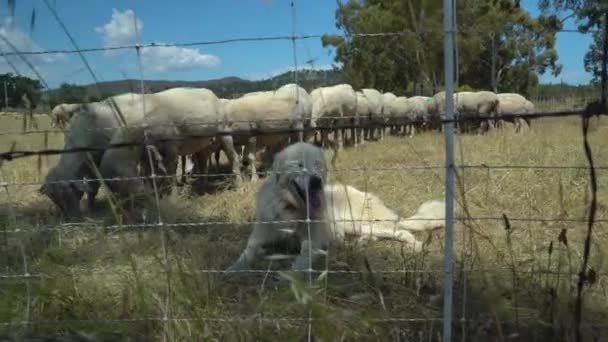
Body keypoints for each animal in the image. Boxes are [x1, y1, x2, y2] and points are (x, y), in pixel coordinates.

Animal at [226, 142, 444, 272]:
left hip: (356, 221)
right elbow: (247, 251)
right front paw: (234, 269)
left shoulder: (312, 242)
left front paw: (291, 277)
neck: (289, 208)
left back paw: (415, 246)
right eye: (299, 165)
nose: (316, 181)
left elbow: (302, 260)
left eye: (318, 164)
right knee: (374, 234)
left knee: (401, 231)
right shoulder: (260, 234)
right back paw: (360, 243)